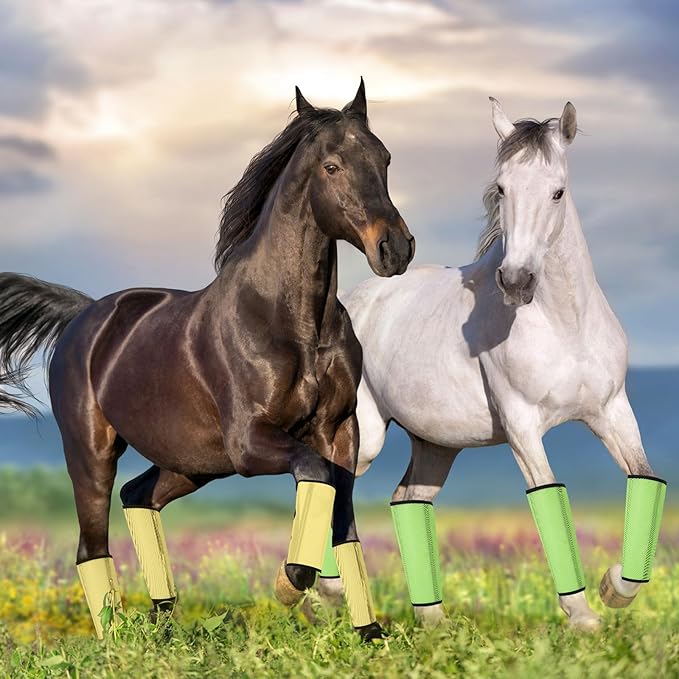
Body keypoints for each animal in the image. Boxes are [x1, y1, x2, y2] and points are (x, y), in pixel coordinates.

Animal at [0, 79, 414, 641]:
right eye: (332, 166)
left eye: (384, 158)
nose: (396, 249)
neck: (292, 322)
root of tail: (84, 315)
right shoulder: (251, 442)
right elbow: (315, 474)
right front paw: (291, 582)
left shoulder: (338, 431)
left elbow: (343, 520)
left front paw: (370, 634)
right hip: (92, 452)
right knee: (91, 545)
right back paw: (119, 640)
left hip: (192, 463)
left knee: (138, 496)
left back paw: (163, 623)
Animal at [320, 99, 666, 630]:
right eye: (501, 188)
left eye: (557, 191)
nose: (517, 281)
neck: (565, 325)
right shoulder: (522, 424)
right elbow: (548, 495)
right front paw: (582, 616)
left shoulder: (612, 411)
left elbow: (644, 480)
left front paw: (614, 588)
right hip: (367, 435)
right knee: (333, 485)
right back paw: (322, 590)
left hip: (436, 445)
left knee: (408, 501)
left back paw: (433, 620)